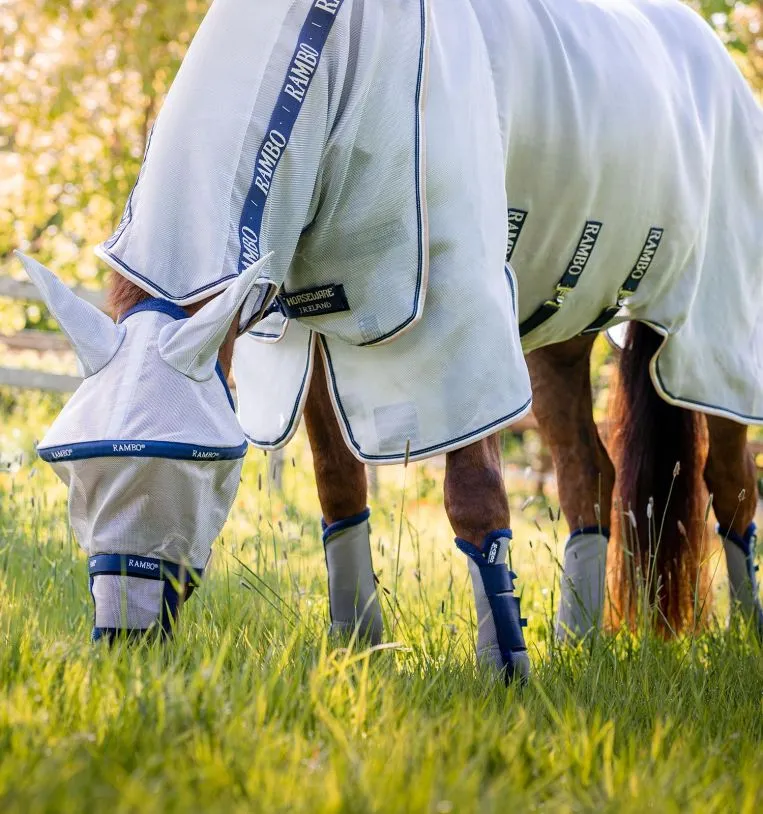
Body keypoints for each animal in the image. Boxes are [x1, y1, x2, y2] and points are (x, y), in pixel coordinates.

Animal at [17, 0, 763, 684]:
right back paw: (576, 643)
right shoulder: (311, 329)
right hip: (558, 337)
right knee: (590, 474)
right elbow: (339, 488)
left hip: (712, 339)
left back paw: (743, 636)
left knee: (730, 484)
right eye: (72, 469)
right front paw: (357, 648)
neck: (334, 56)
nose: (124, 640)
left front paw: (504, 674)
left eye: (206, 466)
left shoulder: (457, 318)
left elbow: (473, 497)